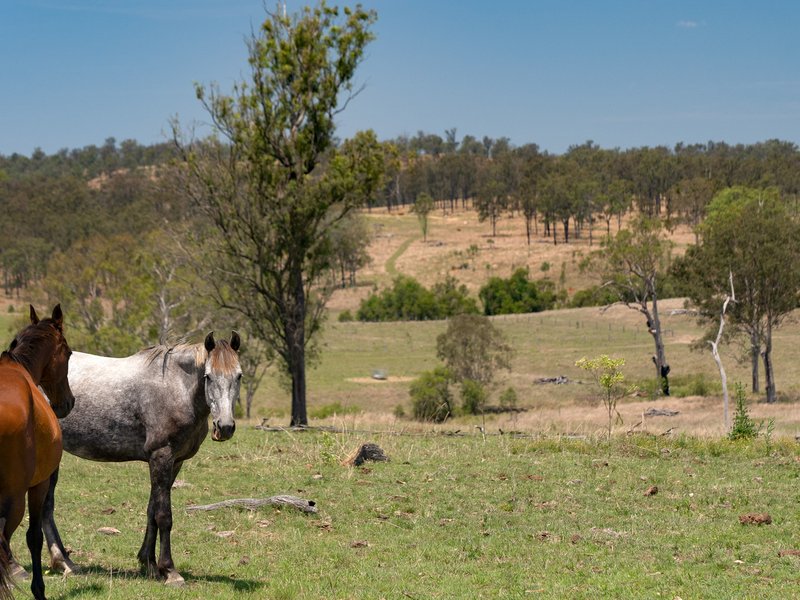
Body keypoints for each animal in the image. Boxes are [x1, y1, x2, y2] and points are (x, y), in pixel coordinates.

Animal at [0, 304, 74, 600]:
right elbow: (34, 537)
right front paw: (38, 589)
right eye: (69, 353)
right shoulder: (39, 484)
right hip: (14, 499)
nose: (68, 402)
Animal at [40, 330, 241, 584]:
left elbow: (151, 511)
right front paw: (170, 570)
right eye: (208, 376)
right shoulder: (161, 456)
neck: (175, 387)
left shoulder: (174, 462)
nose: (224, 427)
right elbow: (164, 515)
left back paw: (64, 562)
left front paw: (149, 563)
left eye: (239, 376)